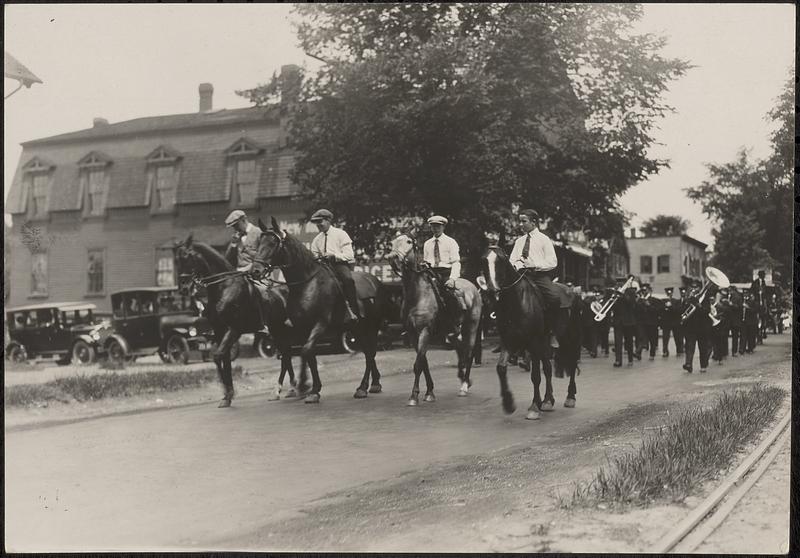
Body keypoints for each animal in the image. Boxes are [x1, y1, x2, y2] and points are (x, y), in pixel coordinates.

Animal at [173, 234, 298, 410]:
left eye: (188, 257)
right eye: (176, 260)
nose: (184, 288)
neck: (224, 287)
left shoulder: (234, 329)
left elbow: (218, 356)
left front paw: (229, 393)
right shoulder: (220, 331)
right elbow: (224, 359)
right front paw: (227, 395)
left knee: (287, 355)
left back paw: (286, 388)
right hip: (277, 330)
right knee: (286, 355)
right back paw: (288, 389)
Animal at [252, 217, 386, 404]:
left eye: (273, 243)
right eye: (259, 243)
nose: (255, 271)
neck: (308, 284)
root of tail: (375, 281)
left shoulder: (320, 324)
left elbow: (306, 351)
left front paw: (307, 388)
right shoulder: (302, 329)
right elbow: (308, 356)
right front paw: (309, 388)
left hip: (371, 326)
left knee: (370, 352)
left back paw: (364, 387)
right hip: (357, 328)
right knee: (368, 351)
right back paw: (372, 384)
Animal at [388, 233, 482, 406]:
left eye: (409, 242)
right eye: (392, 243)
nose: (392, 258)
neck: (417, 296)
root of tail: (473, 288)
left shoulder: (425, 331)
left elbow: (418, 364)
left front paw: (414, 396)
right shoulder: (413, 334)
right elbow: (423, 362)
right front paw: (429, 392)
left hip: (471, 326)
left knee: (469, 352)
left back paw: (464, 385)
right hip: (451, 331)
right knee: (459, 348)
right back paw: (463, 377)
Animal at [482, 245, 580, 420]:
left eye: (501, 260)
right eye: (483, 261)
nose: (492, 291)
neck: (516, 302)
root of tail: (572, 291)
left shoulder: (533, 341)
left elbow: (535, 375)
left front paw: (534, 406)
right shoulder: (508, 340)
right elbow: (501, 368)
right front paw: (509, 403)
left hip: (570, 338)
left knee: (572, 361)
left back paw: (570, 397)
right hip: (545, 341)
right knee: (548, 367)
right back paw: (548, 400)